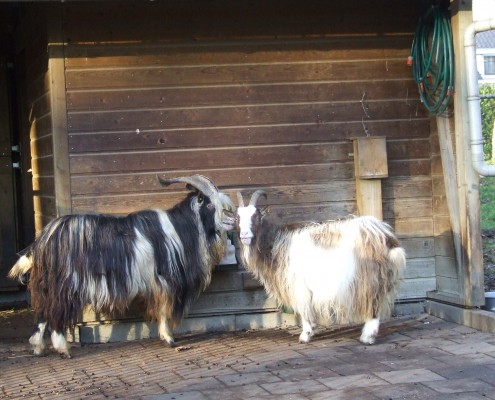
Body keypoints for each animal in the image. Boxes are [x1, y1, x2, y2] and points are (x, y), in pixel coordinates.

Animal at [8, 174, 236, 356]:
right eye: (209, 204)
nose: (233, 220)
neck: (181, 230)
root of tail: (42, 241)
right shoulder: (165, 281)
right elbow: (164, 310)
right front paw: (169, 339)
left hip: (48, 285)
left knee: (43, 313)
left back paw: (38, 348)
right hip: (65, 284)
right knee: (55, 314)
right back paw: (63, 349)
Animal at [237, 190, 406, 344]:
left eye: (256, 216)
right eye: (238, 218)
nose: (244, 235)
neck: (276, 243)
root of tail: (387, 238)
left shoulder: (300, 287)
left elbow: (305, 311)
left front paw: (305, 336)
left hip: (369, 278)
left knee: (373, 305)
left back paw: (367, 338)